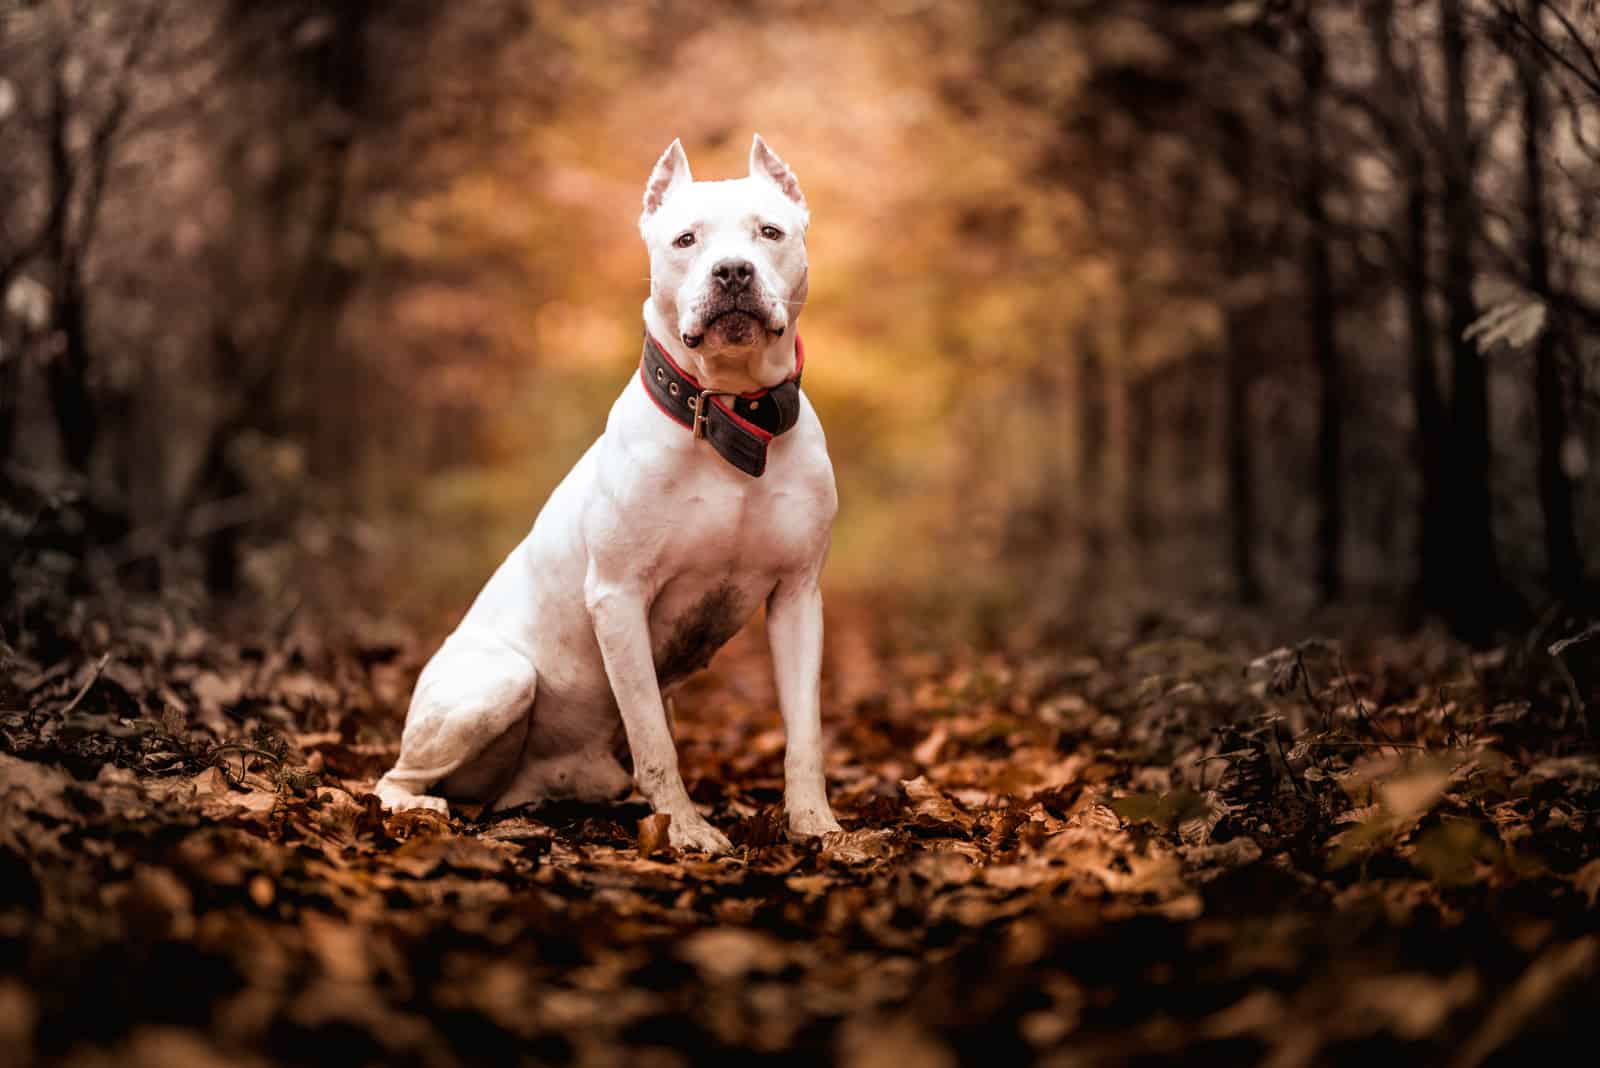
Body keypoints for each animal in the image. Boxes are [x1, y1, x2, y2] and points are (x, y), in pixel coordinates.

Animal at [376, 135, 844, 850]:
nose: (733, 272)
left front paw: (814, 821)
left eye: (770, 233)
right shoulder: (619, 598)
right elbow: (654, 738)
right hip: (498, 682)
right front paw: (686, 830)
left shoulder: (796, 597)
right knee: (394, 777)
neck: (730, 414)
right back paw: (419, 807)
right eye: (685, 239)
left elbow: (804, 732)